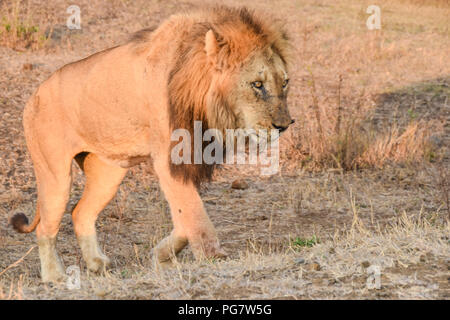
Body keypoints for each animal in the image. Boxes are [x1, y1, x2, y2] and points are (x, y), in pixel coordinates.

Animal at [11, 4, 296, 280]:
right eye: (257, 84)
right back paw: (54, 276)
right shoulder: (170, 156)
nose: (284, 125)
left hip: (108, 174)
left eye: (285, 82)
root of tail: (33, 95)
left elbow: (184, 215)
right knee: (46, 227)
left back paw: (97, 264)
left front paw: (161, 255)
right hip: (55, 174)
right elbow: (193, 211)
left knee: (80, 212)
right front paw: (212, 256)